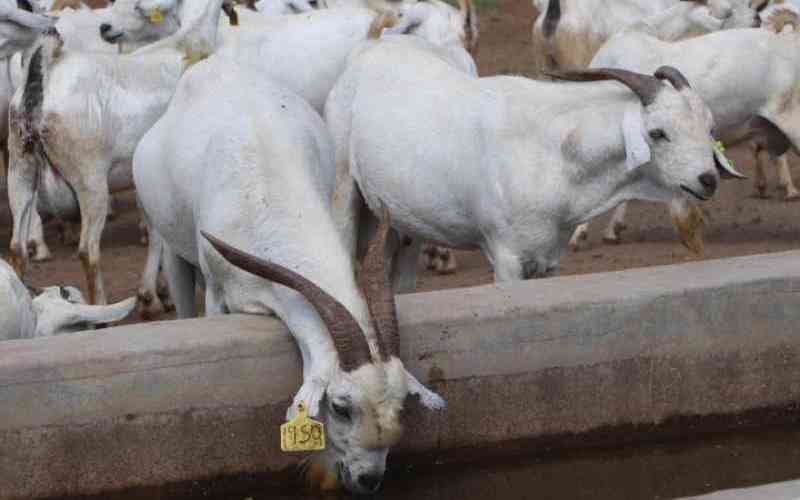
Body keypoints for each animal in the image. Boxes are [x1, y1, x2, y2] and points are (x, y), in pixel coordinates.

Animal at [134, 54, 444, 494]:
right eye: (341, 407)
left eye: (399, 405)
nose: (368, 480)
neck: (266, 190)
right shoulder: (216, 290)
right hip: (173, 247)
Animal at [328, 36, 738, 289]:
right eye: (657, 132)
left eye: (708, 127)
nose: (707, 179)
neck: (552, 152)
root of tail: (370, 52)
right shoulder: (507, 259)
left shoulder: (548, 260)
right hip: (344, 190)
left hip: (403, 225)